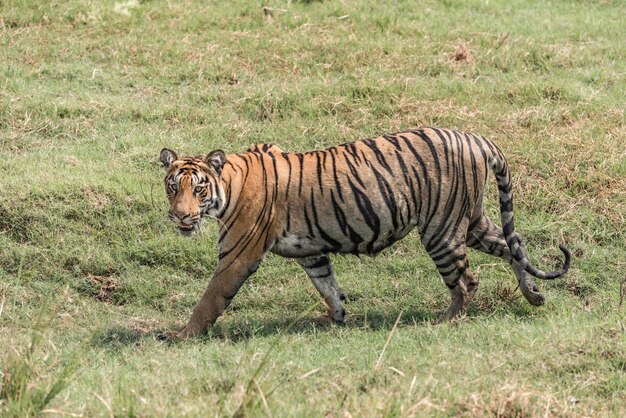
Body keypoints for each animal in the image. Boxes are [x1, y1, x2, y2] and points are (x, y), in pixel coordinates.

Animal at [158, 125, 568, 338]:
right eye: (172, 187)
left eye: (198, 190)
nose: (179, 217)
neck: (228, 183)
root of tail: (475, 137)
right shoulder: (311, 251)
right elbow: (327, 285)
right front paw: (336, 317)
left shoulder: (236, 255)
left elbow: (209, 299)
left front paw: (182, 335)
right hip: (471, 221)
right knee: (512, 244)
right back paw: (533, 295)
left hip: (441, 229)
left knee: (466, 281)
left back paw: (445, 321)